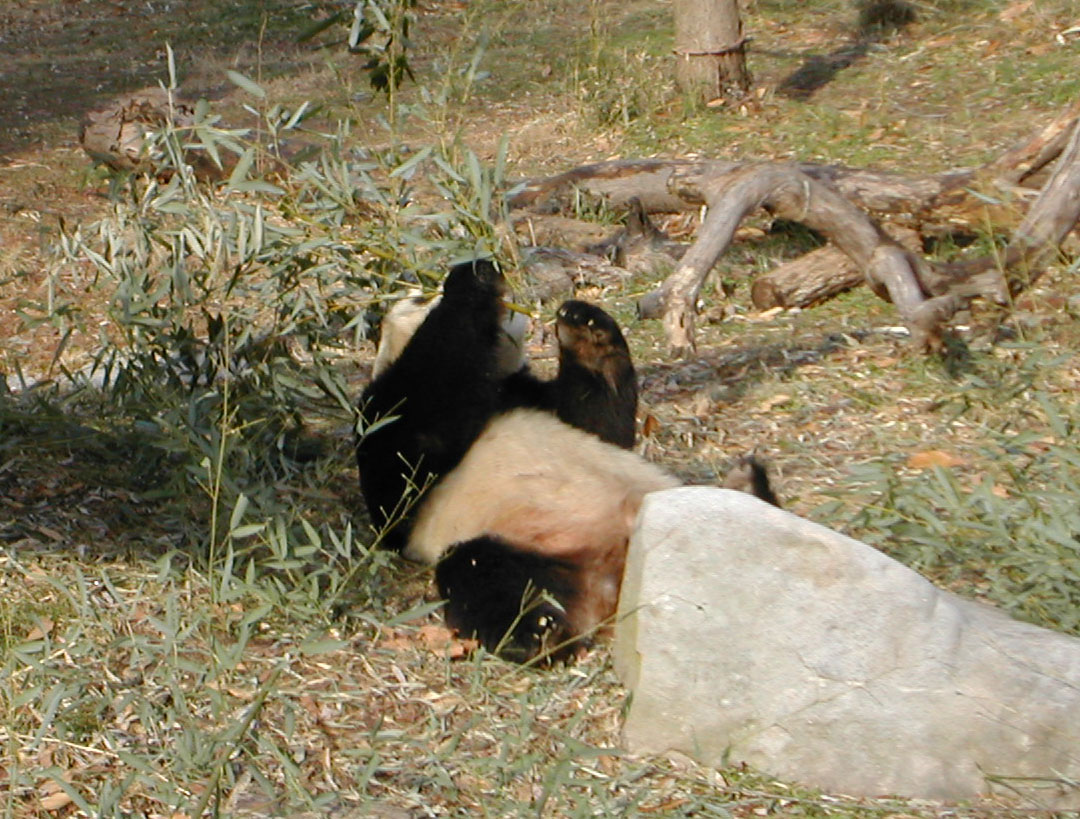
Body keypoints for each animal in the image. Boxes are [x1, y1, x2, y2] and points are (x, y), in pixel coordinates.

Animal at [360, 259, 777, 665]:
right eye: (417, 298)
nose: (497, 269)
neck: (494, 377)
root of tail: (617, 572)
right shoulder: (388, 414)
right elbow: (403, 457)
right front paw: (472, 279)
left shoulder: (535, 397)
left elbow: (600, 419)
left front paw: (586, 327)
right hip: (524, 541)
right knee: (482, 573)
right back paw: (538, 633)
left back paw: (745, 483)